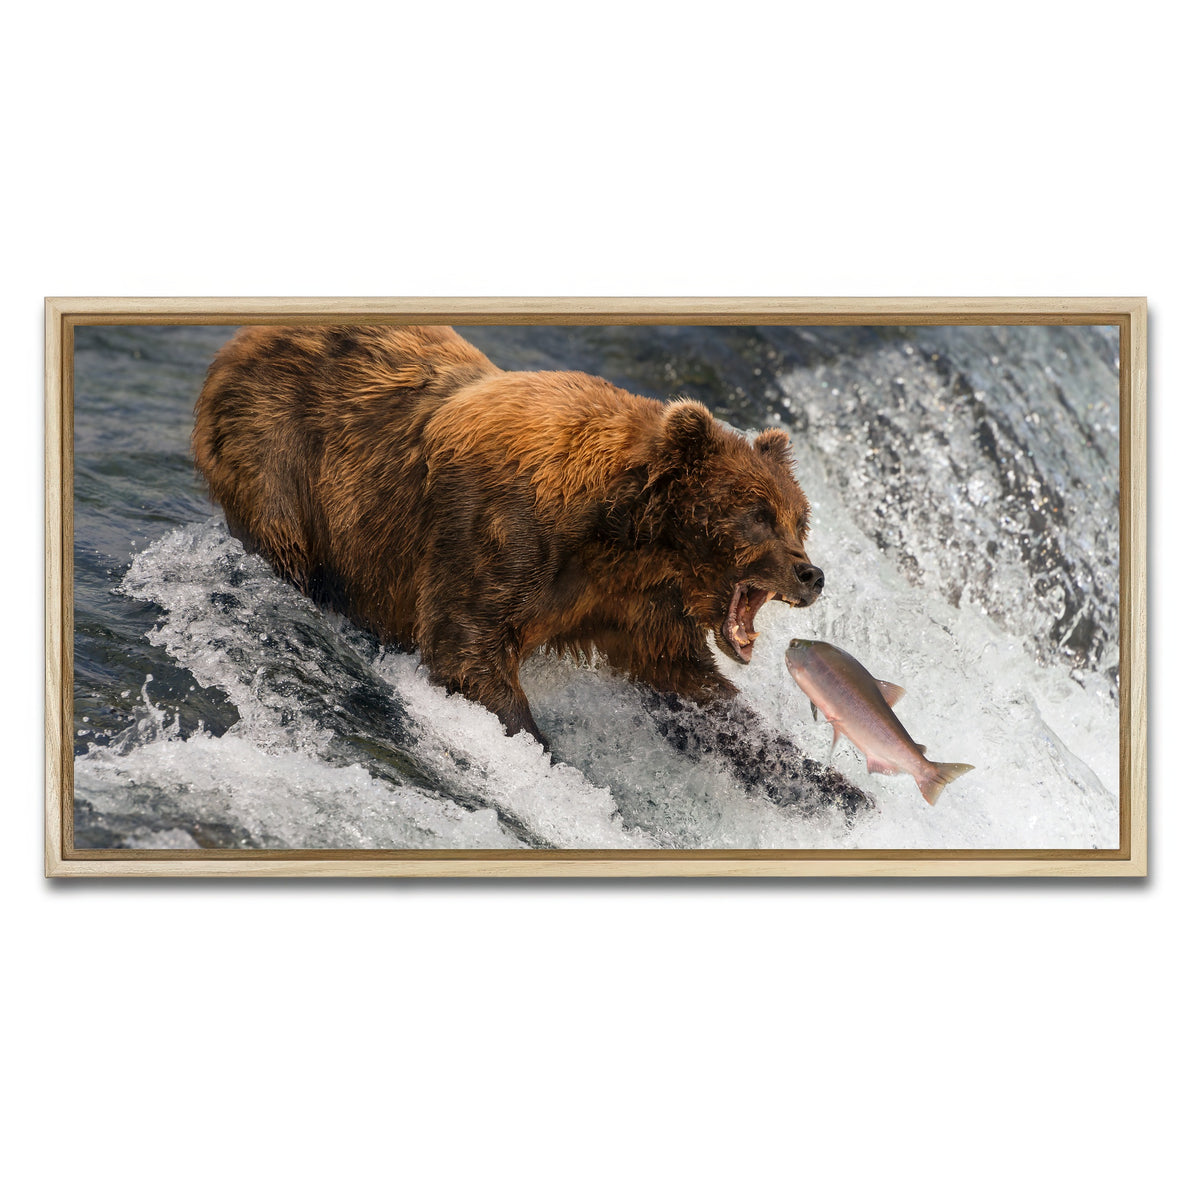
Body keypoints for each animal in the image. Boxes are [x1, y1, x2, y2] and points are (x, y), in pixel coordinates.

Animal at [193, 325, 864, 812]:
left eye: (798, 518)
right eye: (757, 515)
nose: (811, 574)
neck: (623, 534)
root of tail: (239, 342)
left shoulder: (633, 602)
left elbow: (690, 687)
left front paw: (835, 786)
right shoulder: (499, 532)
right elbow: (468, 648)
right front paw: (552, 762)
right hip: (281, 455)